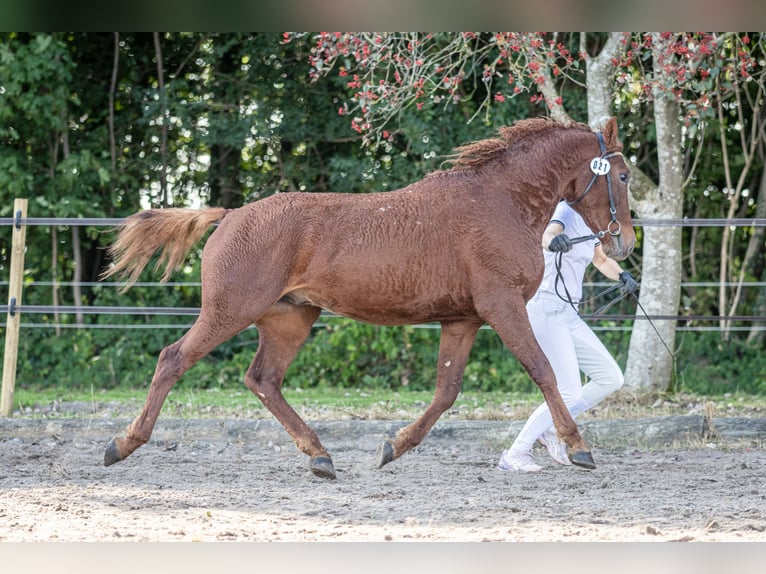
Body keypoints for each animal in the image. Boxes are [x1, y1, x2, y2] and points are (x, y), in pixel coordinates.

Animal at [102, 117, 636, 482]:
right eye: (625, 176)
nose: (624, 244)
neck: (500, 202)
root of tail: (230, 215)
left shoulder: (462, 320)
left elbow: (446, 392)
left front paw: (393, 446)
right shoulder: (501, 306)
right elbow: (543, 370)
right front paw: (579, 447)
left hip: (290, 319)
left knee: (263, 380)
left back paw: (320, 456)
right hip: (230, 311)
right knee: (174, 359)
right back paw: (122, 444)